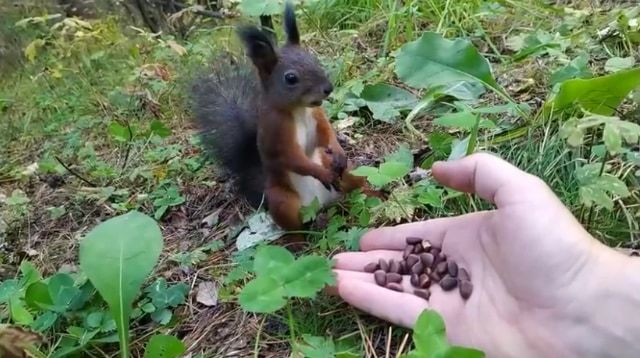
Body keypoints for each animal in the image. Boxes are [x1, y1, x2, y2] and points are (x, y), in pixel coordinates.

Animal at [190, 1, 380, 242]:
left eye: (314, 59)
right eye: (290, 78)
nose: (328, 88)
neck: (299, 109)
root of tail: (322, 204)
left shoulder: (317, 116)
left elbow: (326, 134)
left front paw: (338, 151)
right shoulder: (276, 131)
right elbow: (291, 157)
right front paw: (321, 173)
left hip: (348, 174)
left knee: (354, 183)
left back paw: (375, 193)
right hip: (283, 201)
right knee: (294, 226)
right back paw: (298, 241)